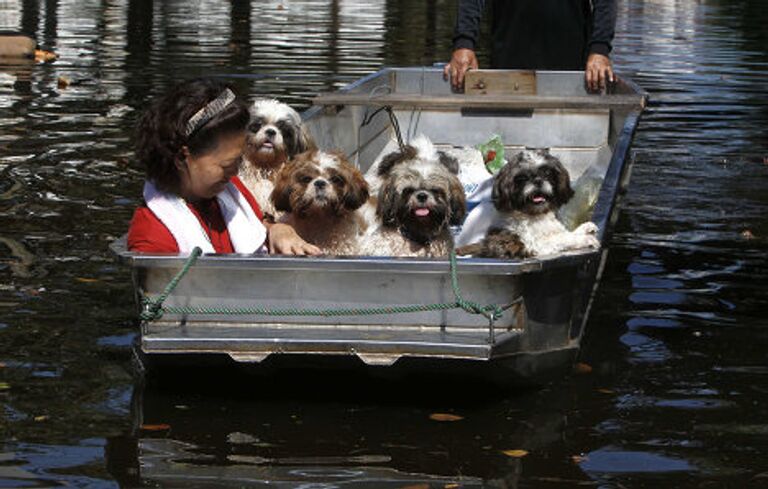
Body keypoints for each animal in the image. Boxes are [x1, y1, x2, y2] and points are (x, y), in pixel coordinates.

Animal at [456, 149, 600, 260]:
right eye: (522, 178)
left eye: (547, 172)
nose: (537, 180)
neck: (536, 215)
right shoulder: (527, 245)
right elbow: (562, 238)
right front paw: (584, 239)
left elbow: (565, 233)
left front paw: (583, 229)